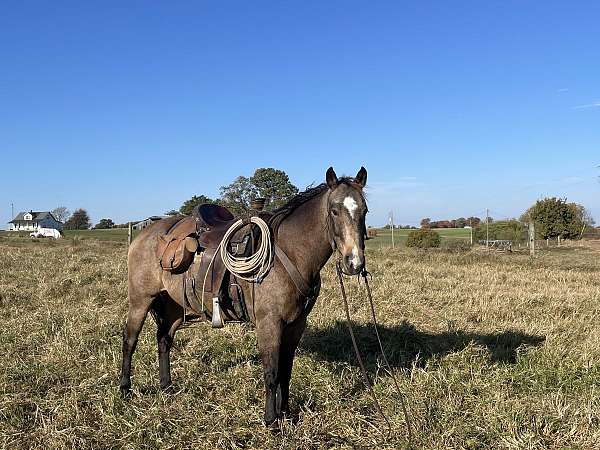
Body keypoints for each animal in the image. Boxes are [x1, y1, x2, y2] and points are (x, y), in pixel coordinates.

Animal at [119, 166, 368, 426]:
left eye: (364, 211)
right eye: (334, 211)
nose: (354, 263)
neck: (288, 254)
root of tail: (146, 234)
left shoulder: (296, 324)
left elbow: (286, 371)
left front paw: (287, 414)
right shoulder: (269, 323)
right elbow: (272, 373)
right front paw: (271, 421)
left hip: (174, 306)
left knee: (164, 340)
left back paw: (166, 386)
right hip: (140, 300)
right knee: (129, 341)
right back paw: (125, 389)